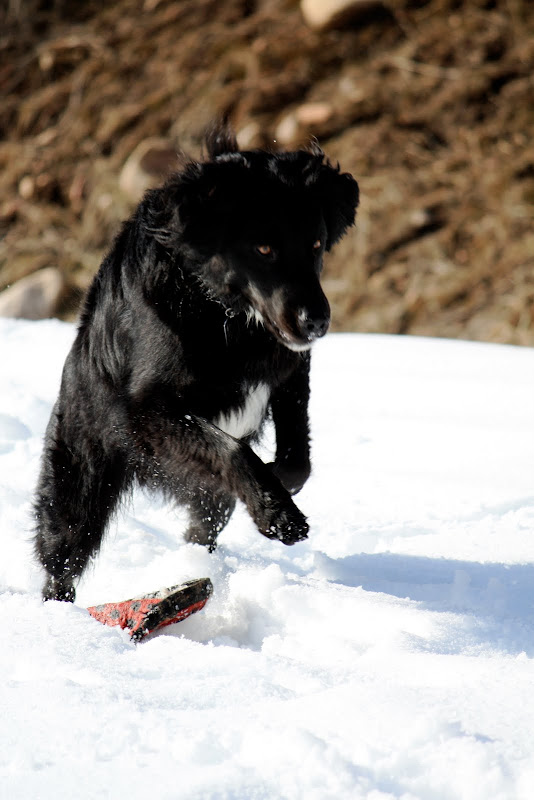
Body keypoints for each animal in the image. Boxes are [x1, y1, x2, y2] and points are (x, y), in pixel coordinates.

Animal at [34, 123, 360, 600]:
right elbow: (231, 448)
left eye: (316, 245)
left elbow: (297, 457)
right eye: (264, 249)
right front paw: (278, 515)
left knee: (204, 520)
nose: (316, 321)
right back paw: (61, 612)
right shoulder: (148, 411)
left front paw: (280, 482)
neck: (223, 313)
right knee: (63, 557)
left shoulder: (291, 371)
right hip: (80, 478)